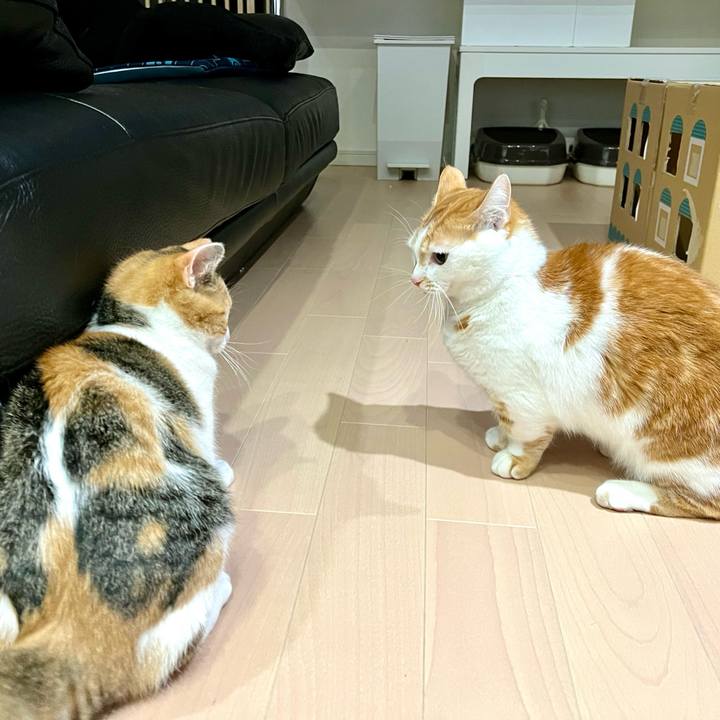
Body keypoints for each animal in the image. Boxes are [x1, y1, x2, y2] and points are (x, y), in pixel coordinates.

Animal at [0, 239, 236, 718]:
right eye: (224, 310)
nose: (229, 333)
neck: (132, 327)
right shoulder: (198, 416)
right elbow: (209, 444)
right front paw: (224, 468)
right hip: (209, 526)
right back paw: (222, 588)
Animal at [409, 165, 720, 521]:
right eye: (413, 251)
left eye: (440, 257)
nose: (414, 279)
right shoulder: (500, 393)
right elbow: (503, 419)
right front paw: (500, 435)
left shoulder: (522, 397)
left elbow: (525, 433)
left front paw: (514, 457)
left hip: (668, 451)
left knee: (701, 500)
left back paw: (622, 491)